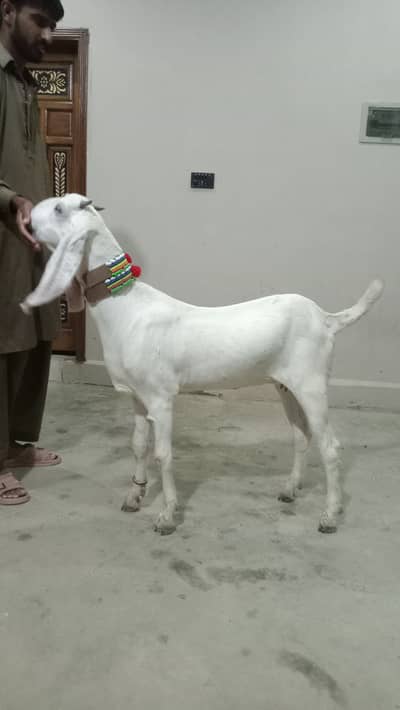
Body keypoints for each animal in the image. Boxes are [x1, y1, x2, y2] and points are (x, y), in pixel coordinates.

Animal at [21, 194, 384, 535]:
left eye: (59, 209)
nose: (27, 221)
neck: (127, 306)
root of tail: (327, 319)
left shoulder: (161, 398)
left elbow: (163, 454)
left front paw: (167, 516)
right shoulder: (137, 396)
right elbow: (138, 446)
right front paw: (135, 497)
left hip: (312, 384)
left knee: (330, 446)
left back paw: (330, 515)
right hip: (286, 386)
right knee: (301, 436)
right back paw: (290, 490)